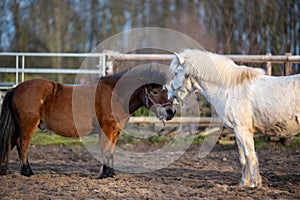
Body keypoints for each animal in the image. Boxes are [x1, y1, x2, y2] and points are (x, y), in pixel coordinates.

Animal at [0, 67, 175, 178]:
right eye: (155, 91)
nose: (171, 112)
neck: (115, 95)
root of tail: (15, 89)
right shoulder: (107, 129)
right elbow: (105, 150)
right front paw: (104, 174)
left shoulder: (115, 131)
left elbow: (111, 151)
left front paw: (110, 173)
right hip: (27, 126)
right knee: (22, 145)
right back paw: (27, 171)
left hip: (17, 126)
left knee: (9, 144)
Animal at [169, 48, 300, 188]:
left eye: (176, 73)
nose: (170, 97)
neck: (230, 88)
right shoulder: (238, 132)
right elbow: (243, 158)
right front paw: (243, 183)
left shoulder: (242, 130)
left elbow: (250, 156)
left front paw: (254, 184)